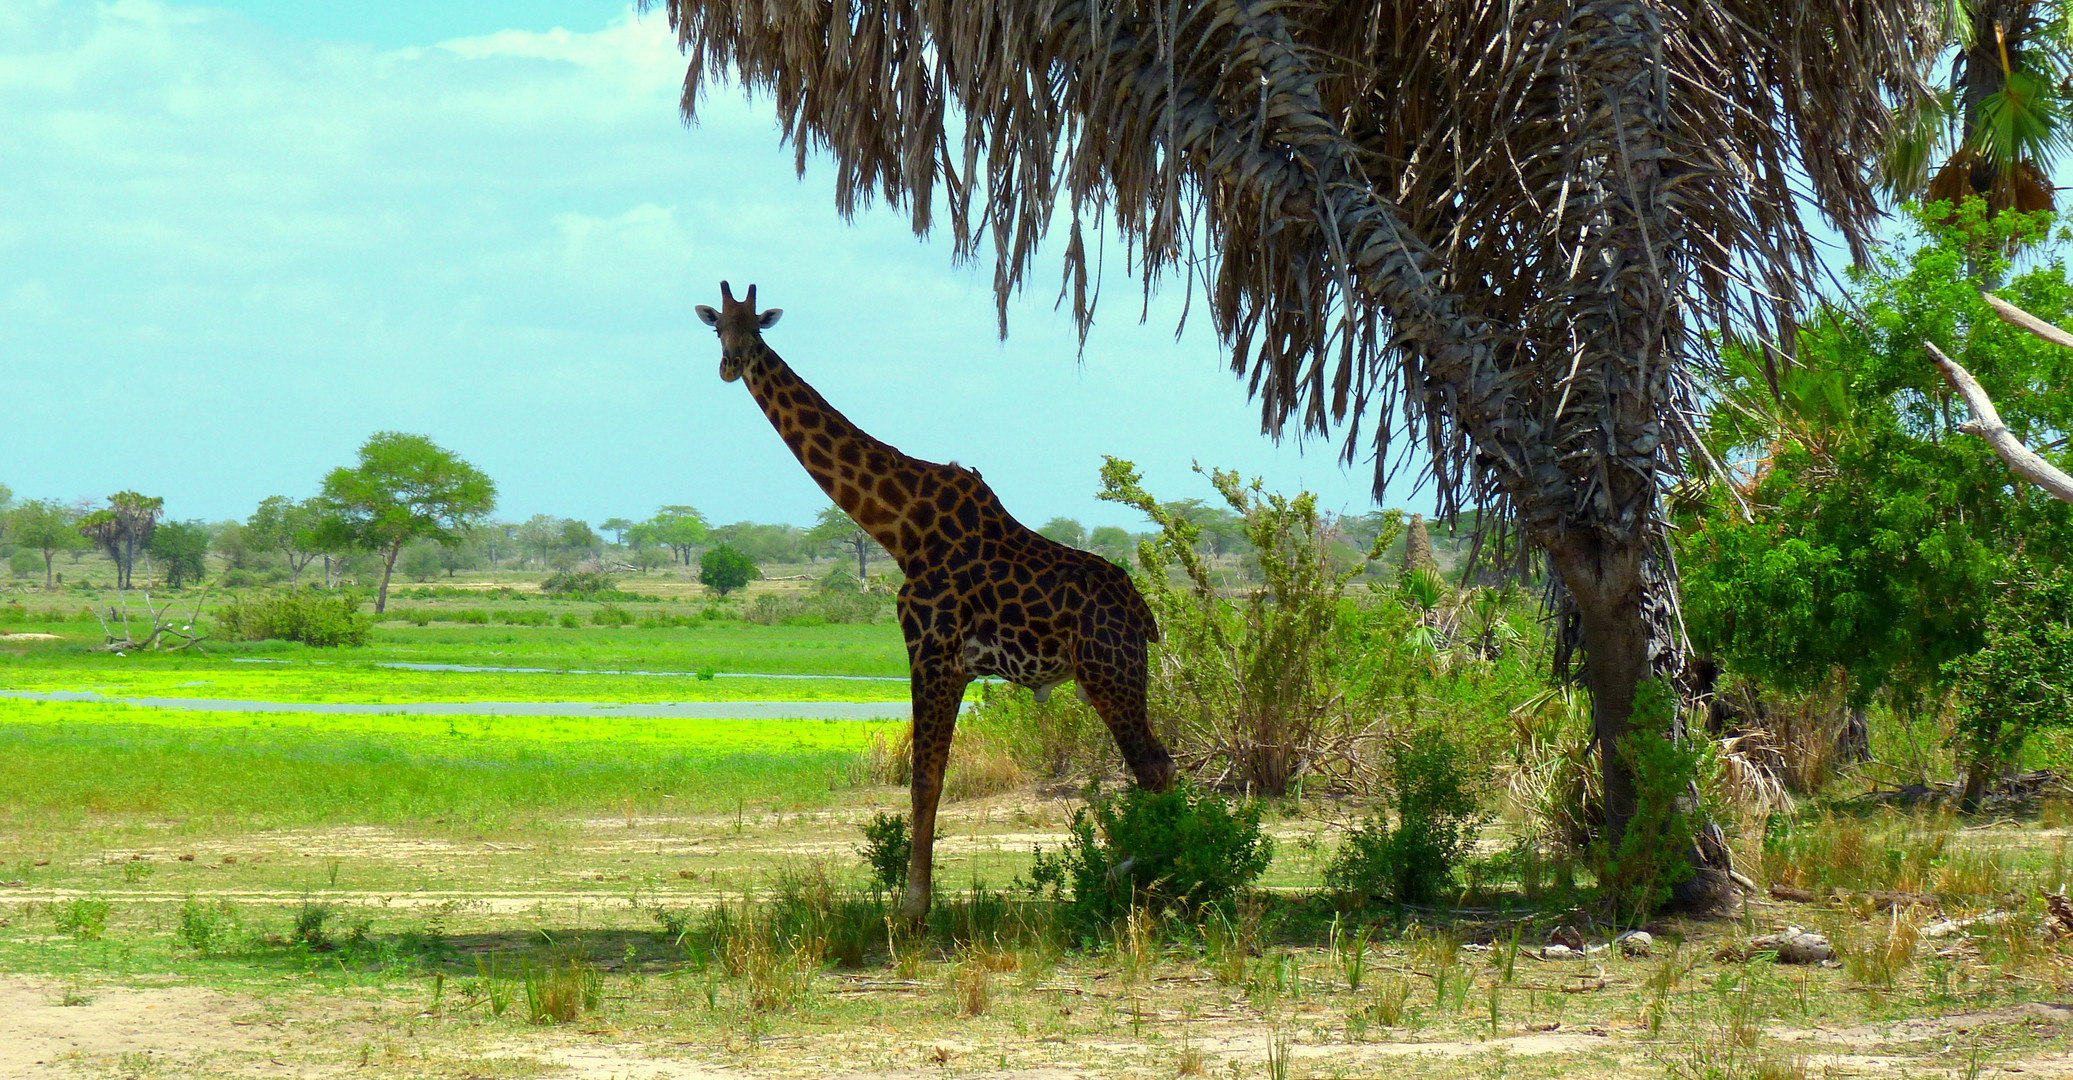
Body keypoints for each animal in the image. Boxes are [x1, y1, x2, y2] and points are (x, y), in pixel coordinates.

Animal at [700, 277, 1177, 916]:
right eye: (717, 329)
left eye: (754, 330)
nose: (731, 365)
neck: (900, 525)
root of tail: (1143, 615)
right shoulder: (947, 661)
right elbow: (930, 775)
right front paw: (917, 900)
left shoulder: (933, 651)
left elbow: (925, 778)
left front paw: (913, 906)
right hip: (1107, 675)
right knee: (1159, 766)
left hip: (1109, 671)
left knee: (1153, 767)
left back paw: (1141, 874)